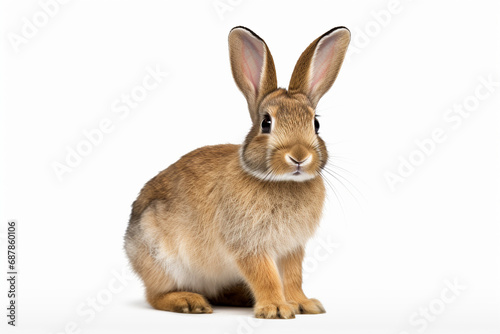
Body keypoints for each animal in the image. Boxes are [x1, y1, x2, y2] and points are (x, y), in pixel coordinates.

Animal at [124, 26, 352, 318]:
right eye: (266, 123)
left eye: (316, 124)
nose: (299, 156)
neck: (280, 181)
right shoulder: (248, 244)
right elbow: (265, 276)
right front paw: (276, 308)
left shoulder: (292, 248)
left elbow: (292, 277)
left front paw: (303, 304)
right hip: (161, 259)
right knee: (155, 295)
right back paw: (189, 301)